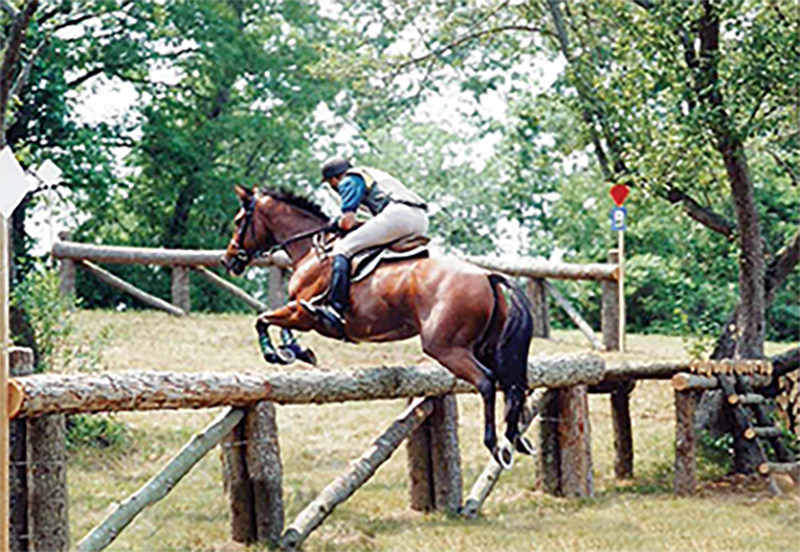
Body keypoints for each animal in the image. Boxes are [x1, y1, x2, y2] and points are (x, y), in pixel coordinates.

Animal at [221, 184, 535, 468]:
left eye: (238, 221)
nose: (227, 259)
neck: (313, 250)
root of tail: (487, 275)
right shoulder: (300, 310)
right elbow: (279, 326)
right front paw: (296, 352)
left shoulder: (303, 312)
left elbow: (262, 320)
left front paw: (275, 354)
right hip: (486, 347)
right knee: (512, 384)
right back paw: (517, 439)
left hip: (446, 348)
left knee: (486, 382)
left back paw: (496, 444)